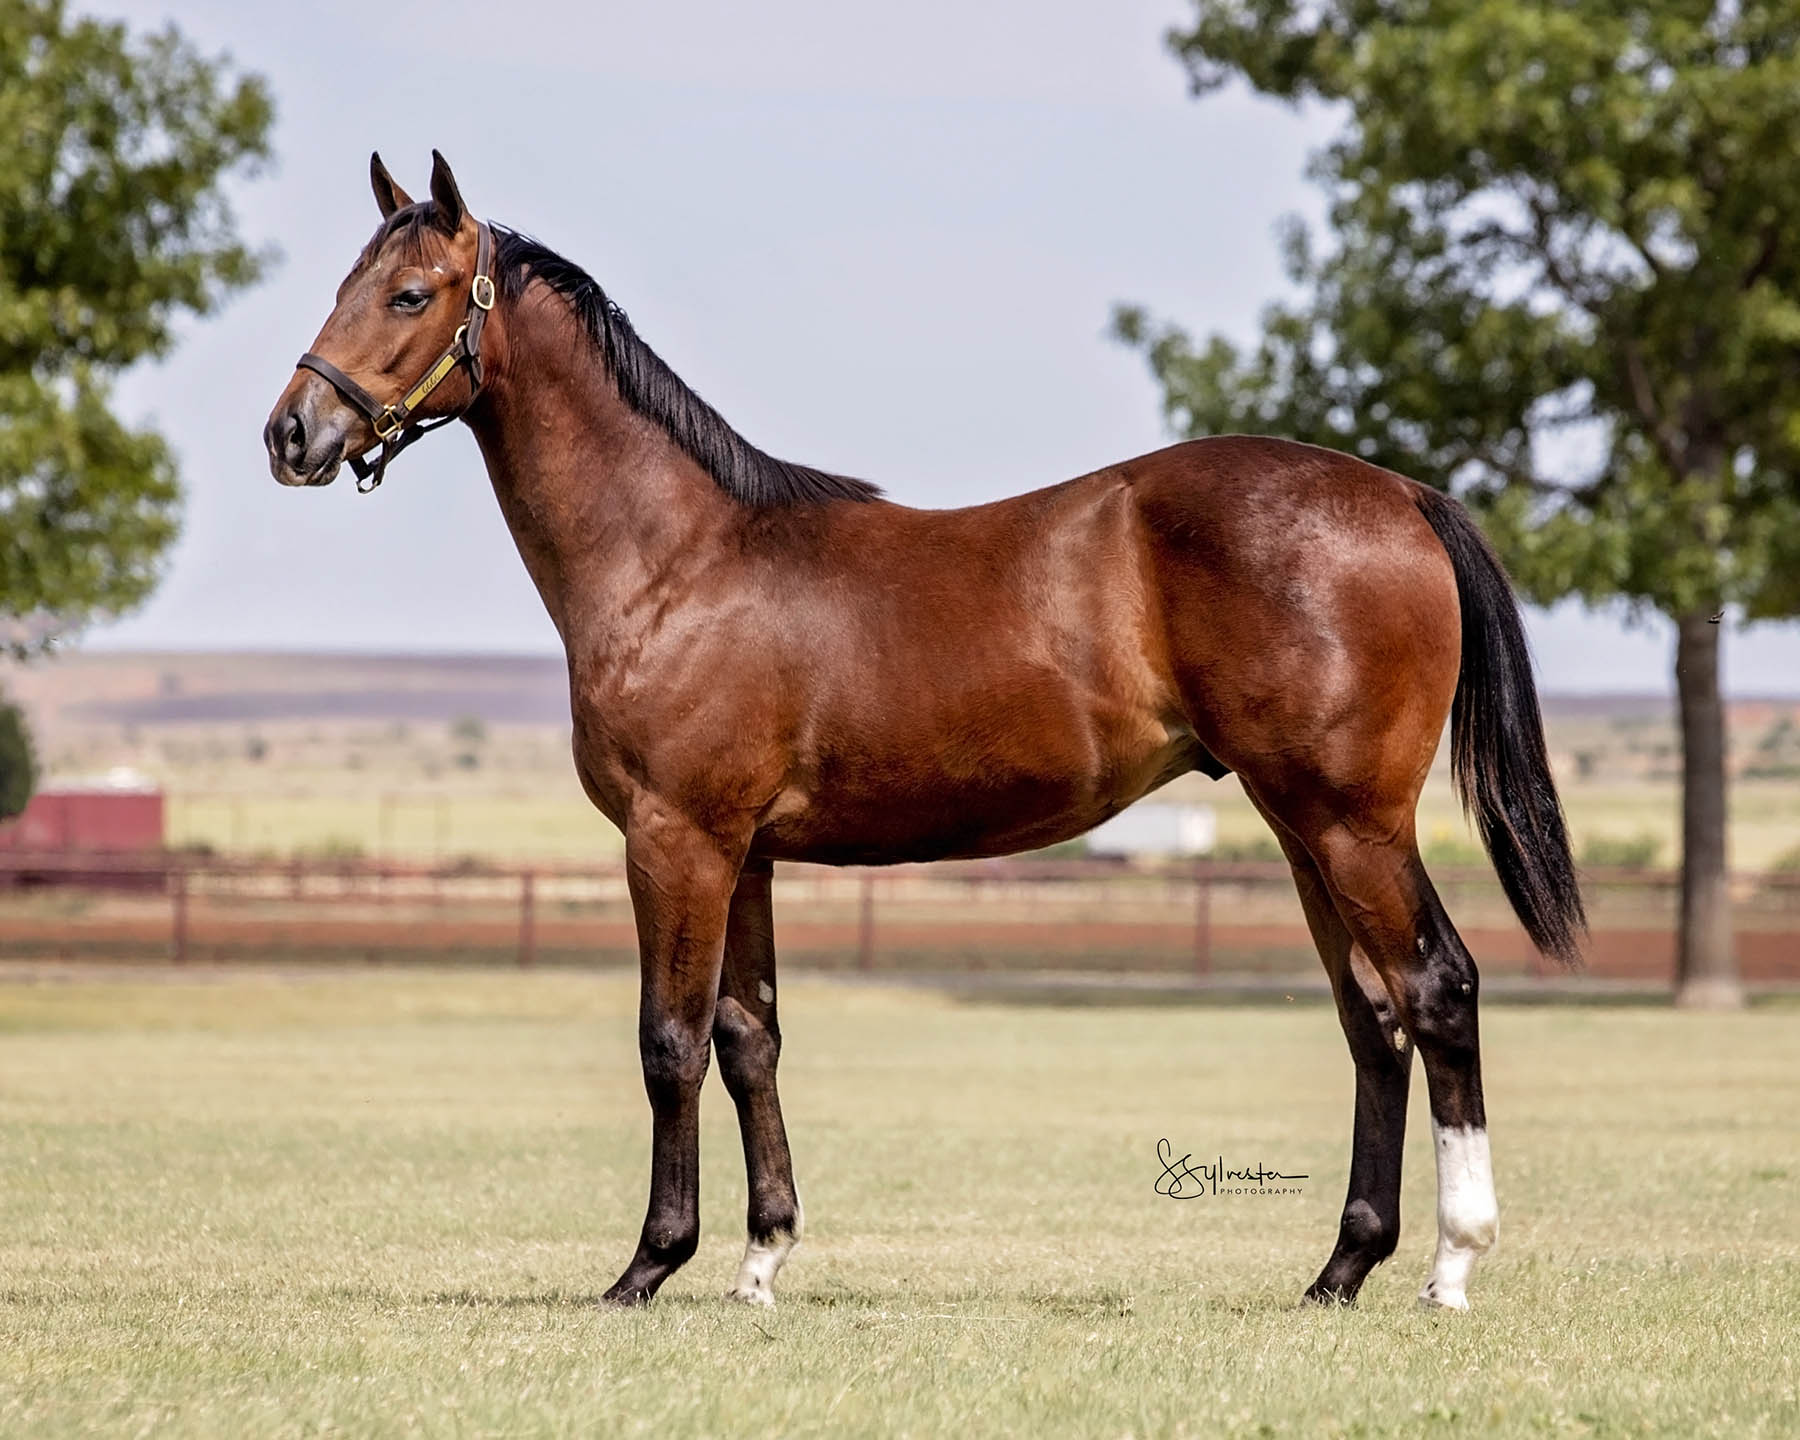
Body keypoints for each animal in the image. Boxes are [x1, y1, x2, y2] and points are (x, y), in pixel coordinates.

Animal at [261, 154, 1584, 1317]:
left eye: (411, 293)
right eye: (345, 282)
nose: (292, 434)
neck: (678, 559)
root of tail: (1401, 495)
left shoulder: (676, 840)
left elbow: (669, 1043)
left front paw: (648, 1266)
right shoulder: (745, 854)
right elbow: (751, 1038)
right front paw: (761, 1262)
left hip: (1352, 823)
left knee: (1438, 990)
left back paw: (1453, 1266)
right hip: (1302, 827)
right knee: (1374, 1018)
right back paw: (1340, 1271)